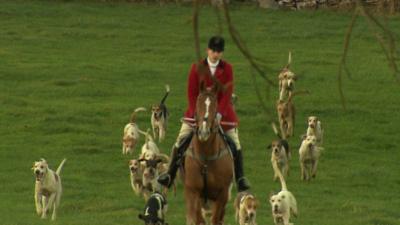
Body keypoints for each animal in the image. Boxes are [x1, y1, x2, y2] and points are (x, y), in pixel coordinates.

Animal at [182, 81, 234, 225]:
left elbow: (215, 220)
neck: (205, 158)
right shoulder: (193, 192)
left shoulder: (222, 194)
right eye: (198, 102)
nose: (204, 131)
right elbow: (198, 219)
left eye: (215, 104)